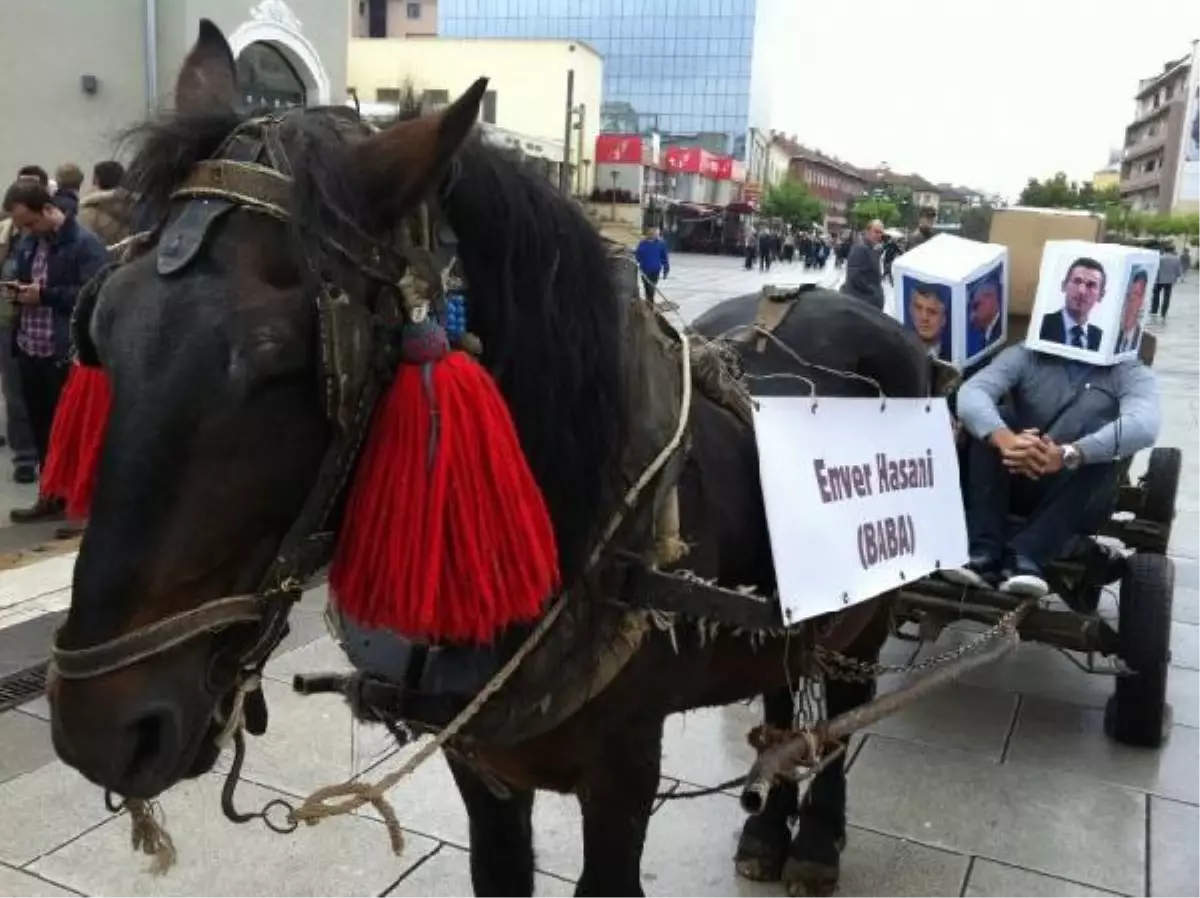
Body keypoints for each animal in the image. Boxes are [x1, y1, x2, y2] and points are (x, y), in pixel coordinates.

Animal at [49, 21, 926, 897]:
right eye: (101, 326)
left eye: (281, 363)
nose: (101, 731)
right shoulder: (483, 763)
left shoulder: (625, 774)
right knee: (784, 696)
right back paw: (769, 827)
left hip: (874, 611)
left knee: (844, 705)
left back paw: (814, 840)